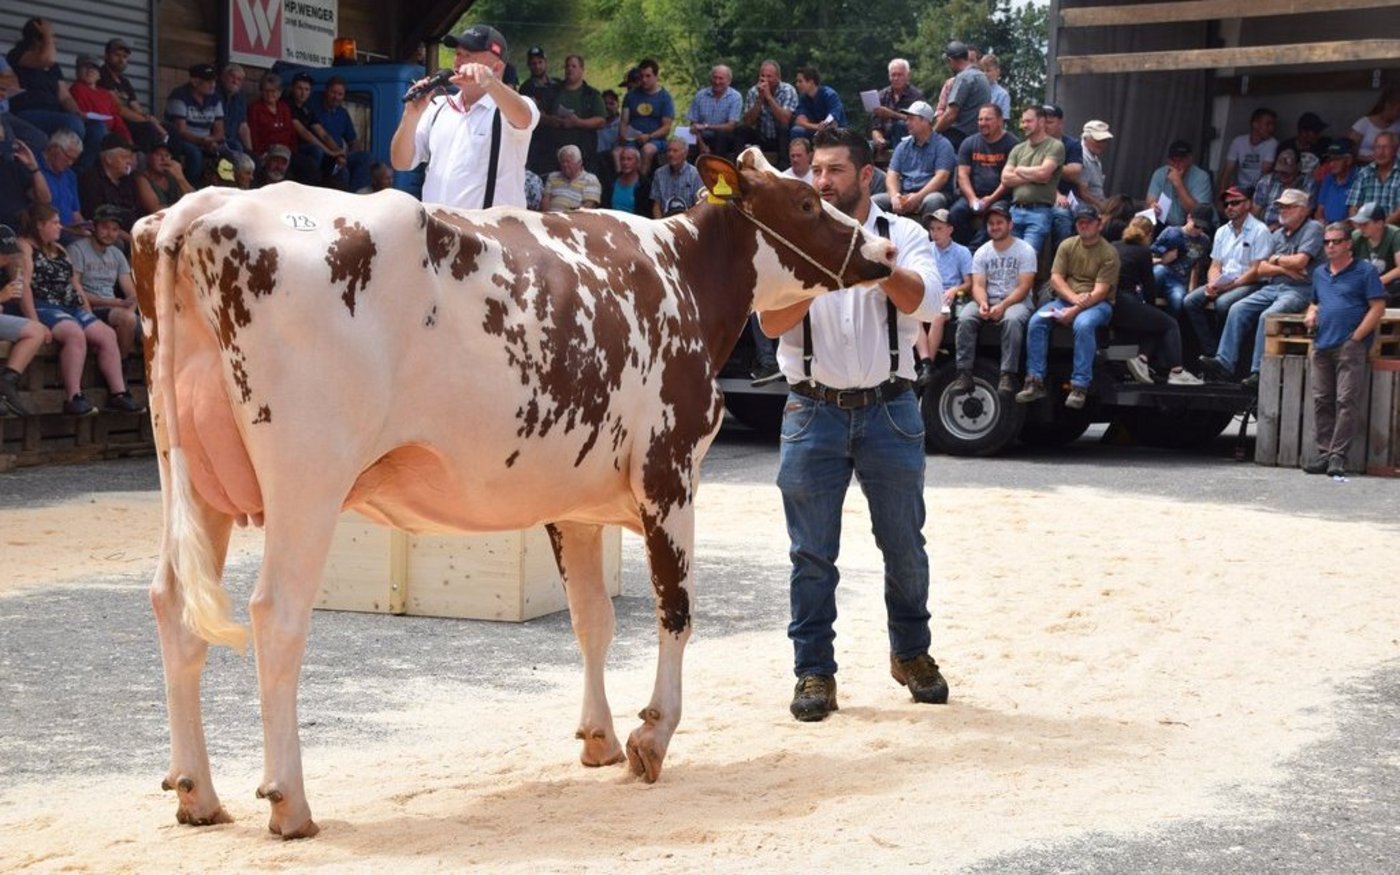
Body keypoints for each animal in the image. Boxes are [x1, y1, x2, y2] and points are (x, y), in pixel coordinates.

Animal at [131, 148, 894, 839]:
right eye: (805, 201)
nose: (884, 248)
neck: (683, 273)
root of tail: (203, 207)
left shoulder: (575, 503)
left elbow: (592, 619)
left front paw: (598, 738)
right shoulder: (670, 472)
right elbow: (675, 612)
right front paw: (652, 736)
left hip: (193, 477)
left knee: (173, 606)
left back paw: (196, 792)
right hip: (307, 476)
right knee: (276, 615)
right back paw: (289, 802)